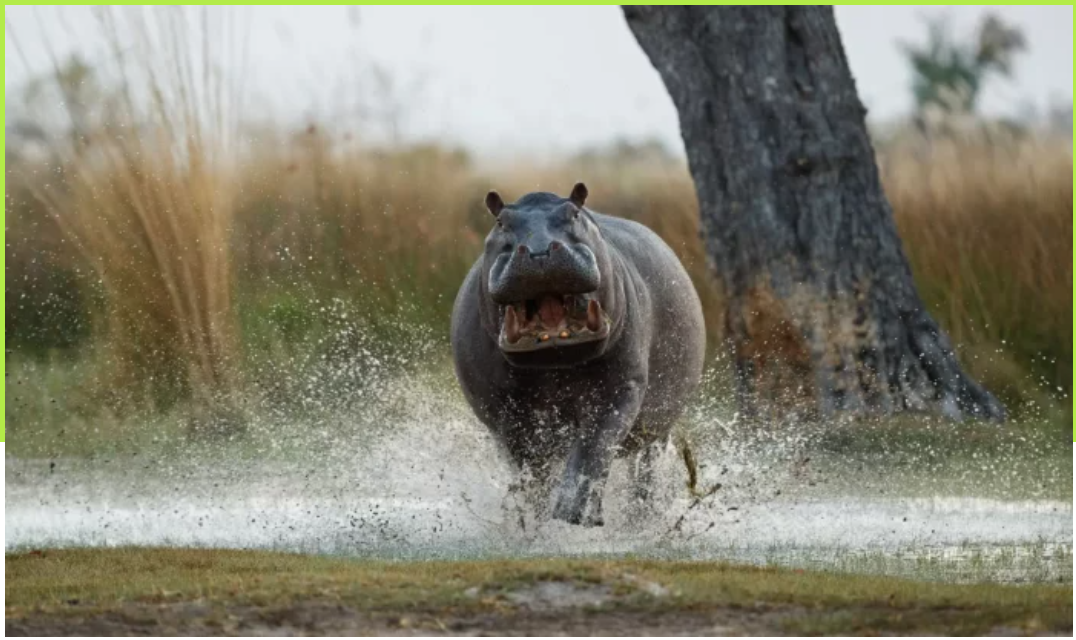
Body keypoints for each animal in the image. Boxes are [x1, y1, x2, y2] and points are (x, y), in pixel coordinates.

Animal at [447, 182, 705, 529]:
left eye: (575, 214)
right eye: (501, 222)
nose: (539, 251)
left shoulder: (621, 389)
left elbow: (594, 447)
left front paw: (574, 516)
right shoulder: (502, 408)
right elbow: (529, 466)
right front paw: (532, 520)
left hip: (658, 428)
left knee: (644, 474)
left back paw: (641, 523)